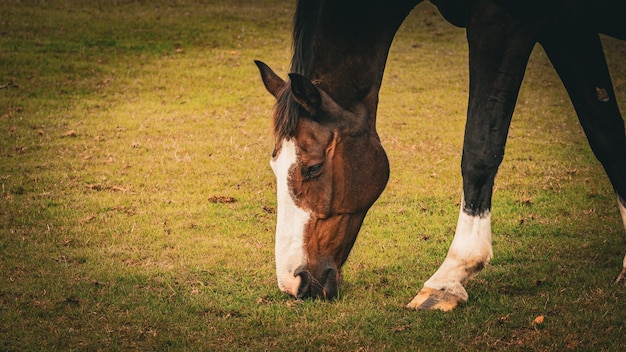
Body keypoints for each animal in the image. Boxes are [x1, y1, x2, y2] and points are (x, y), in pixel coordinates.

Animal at [254, 0, 624, 310]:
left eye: (313, 168)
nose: (293, 283)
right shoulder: (566, 28)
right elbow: (606, 135)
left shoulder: (502, 22)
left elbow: (479, 149)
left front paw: (449, 277)